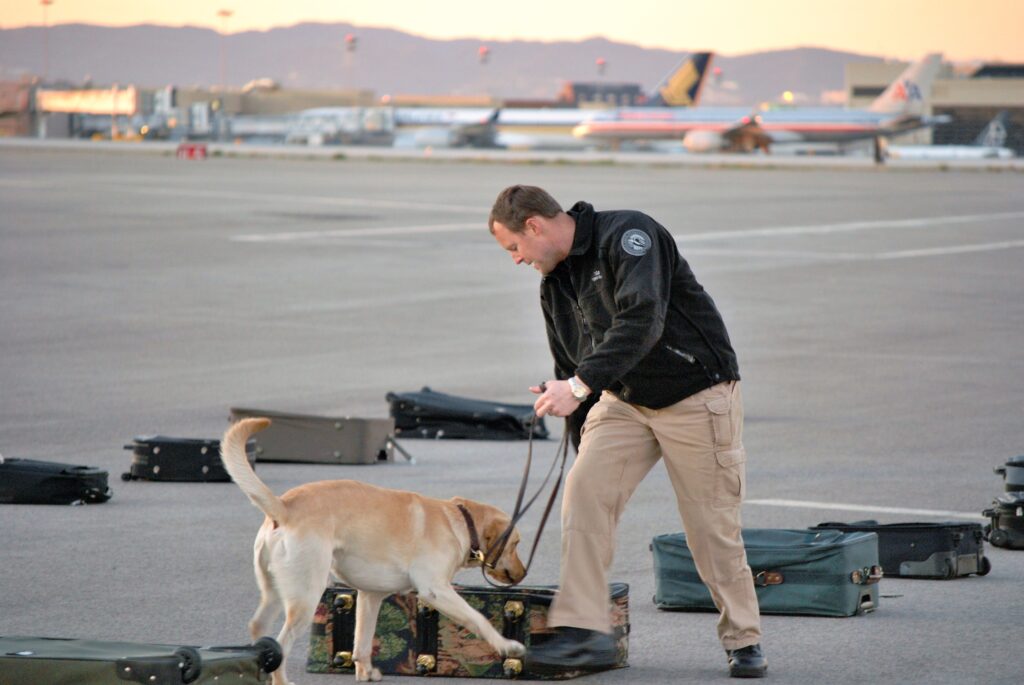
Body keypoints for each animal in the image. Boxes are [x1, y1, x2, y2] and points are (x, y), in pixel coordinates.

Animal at [220, 418, 527, 684]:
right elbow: (479, 619)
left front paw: (365, 672)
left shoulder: (370, 596)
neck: (460, 522)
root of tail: (284, 506)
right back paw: (282, 681)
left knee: (260, 630)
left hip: (274, 590)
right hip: (306, 595)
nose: (524, 573)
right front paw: (507, 645)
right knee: (281, 643)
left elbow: (363, 642)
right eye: (515, 544)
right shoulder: (436, 591)